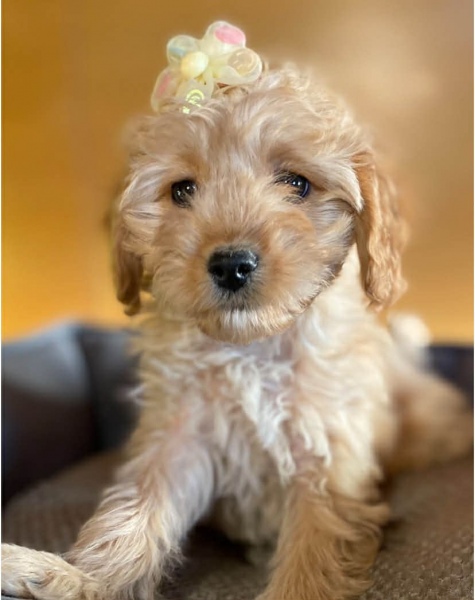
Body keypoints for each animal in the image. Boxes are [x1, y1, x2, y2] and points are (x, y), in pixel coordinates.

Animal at [2, 21, 473, 600]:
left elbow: (313, 548)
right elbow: (136, 509)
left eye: (296, 183)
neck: (251, 347)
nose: (231, 264)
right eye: (182, 190)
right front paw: (78, 579)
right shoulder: (178, 434)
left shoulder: (326, 450)